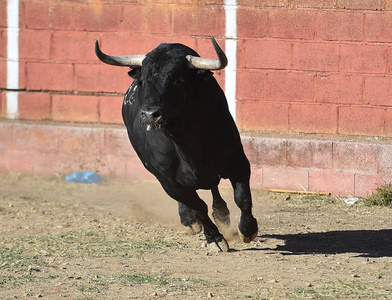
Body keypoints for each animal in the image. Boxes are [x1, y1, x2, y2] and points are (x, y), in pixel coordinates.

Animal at [95, 37, 258, 251]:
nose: (150, 115)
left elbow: (242, 198)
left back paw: (222, 213)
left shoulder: (238, 161)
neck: (188, 143)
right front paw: (214, 238)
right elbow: (198, 208)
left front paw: (248, 230)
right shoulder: (168, 180)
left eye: (178, 81)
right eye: (143, 81)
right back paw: (190, 219)